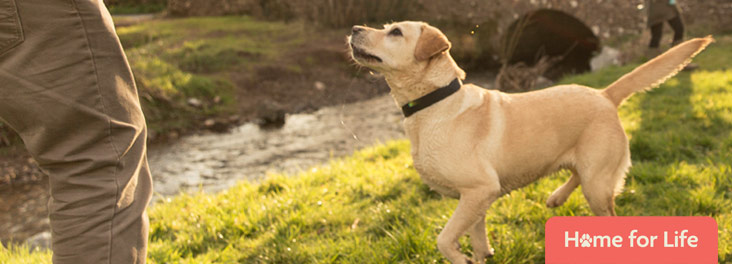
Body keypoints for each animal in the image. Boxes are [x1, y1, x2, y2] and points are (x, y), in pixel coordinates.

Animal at [348, 21, 708, 264]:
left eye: (395, 32)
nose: (354, 28)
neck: (435, 102)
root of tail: (605, 94)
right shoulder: (474, 199)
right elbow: (477, 237)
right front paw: (481, 255)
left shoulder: (479, 189)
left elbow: (445, 239)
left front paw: (460, 256)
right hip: (586, 167)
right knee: (575, 173)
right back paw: (556, 197)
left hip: (598, 185)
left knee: (604, 208)